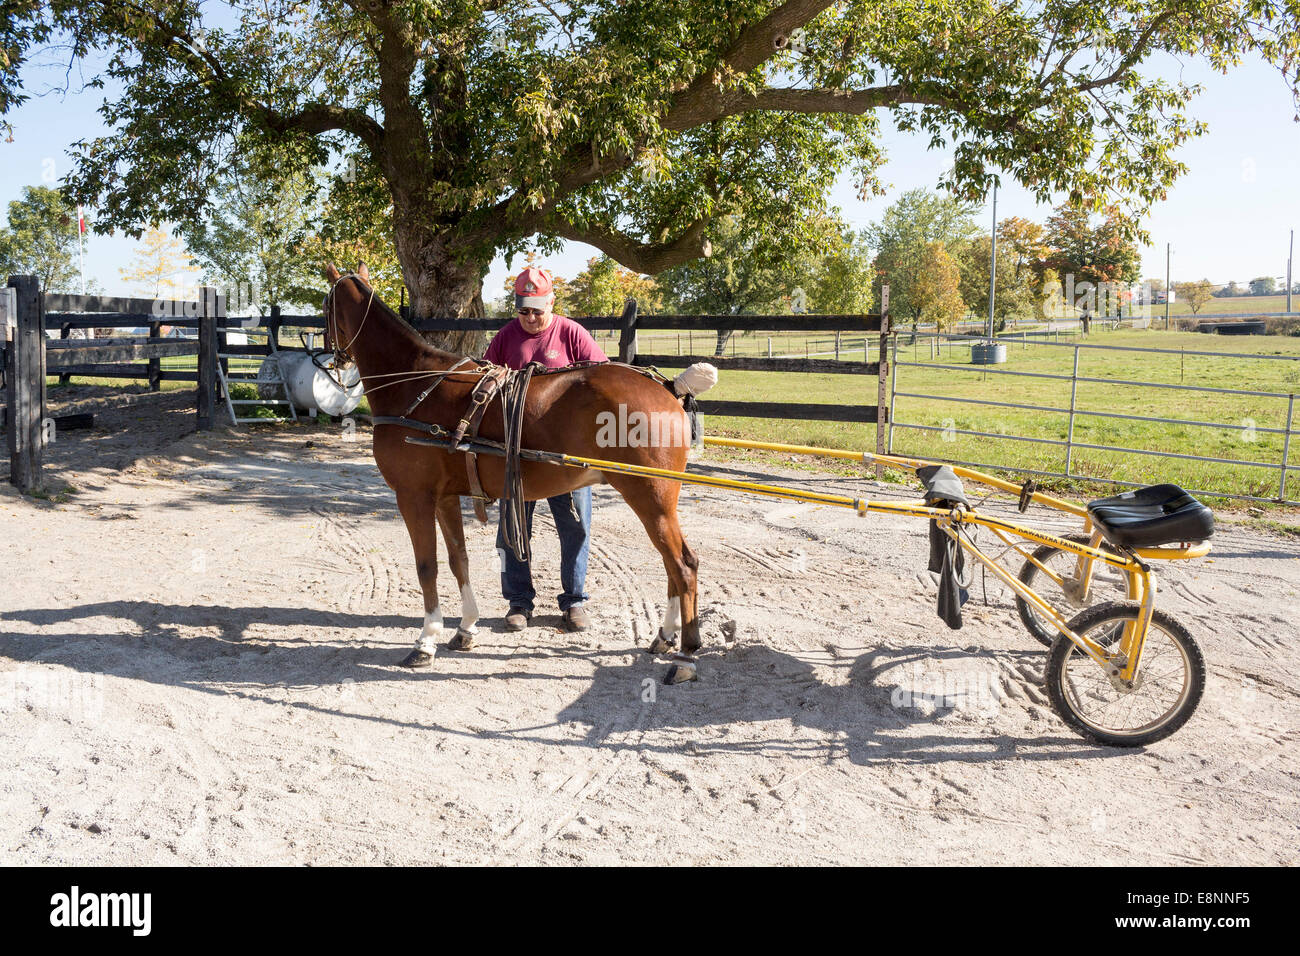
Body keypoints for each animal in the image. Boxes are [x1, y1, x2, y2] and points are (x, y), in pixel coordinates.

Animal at [321, 263, 701, 677]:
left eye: (325, 305)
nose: (329, 354)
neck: (414, 382)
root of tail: (667, 388)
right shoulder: (445, 498)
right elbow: (458, 560)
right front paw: (466, 628)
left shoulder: (413, 496)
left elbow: (427, 567)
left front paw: (426, 641)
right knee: (673, 566)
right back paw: (665, 636)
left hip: (650, 497)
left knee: (683, 567)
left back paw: (686, 652)